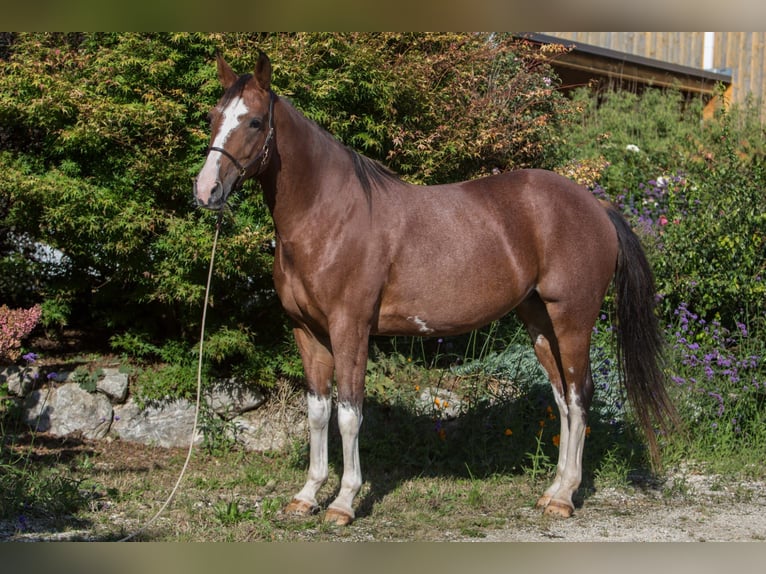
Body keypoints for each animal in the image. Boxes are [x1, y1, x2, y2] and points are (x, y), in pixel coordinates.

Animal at [194, 51, 680, 528]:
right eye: (214, 115)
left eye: (255, 121)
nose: (206, 190)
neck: (327, 215)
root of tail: (596, 205)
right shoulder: (307, 331)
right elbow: (317, 412)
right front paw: (307, 495)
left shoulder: (350, 328)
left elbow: (349, 414)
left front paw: (344, 502)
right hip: (539, 322)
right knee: (562, 398)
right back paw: (552, 490)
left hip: (572, 319)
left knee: (579, 398)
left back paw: (565, 498)